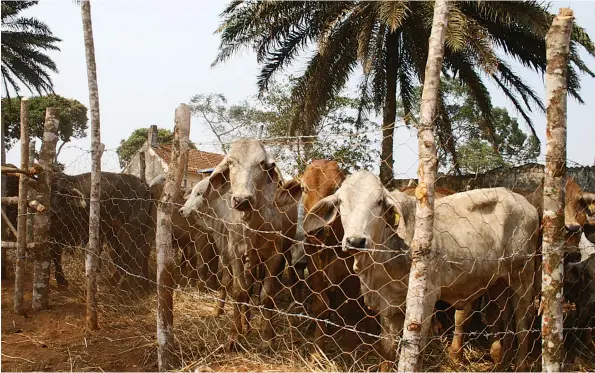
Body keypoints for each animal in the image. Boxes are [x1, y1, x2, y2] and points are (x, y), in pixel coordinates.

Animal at [304, 170, 544, 370]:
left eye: (379, 201)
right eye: (341, 201)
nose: (356, 240)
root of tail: (526, 203)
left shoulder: (425, 301)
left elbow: (416, 352)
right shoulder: (387, 305)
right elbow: (387, 350)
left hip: (523, 275)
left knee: (523, 321)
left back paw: (520, 364)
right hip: (498, 282)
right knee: (503, 317)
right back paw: (501, 363)